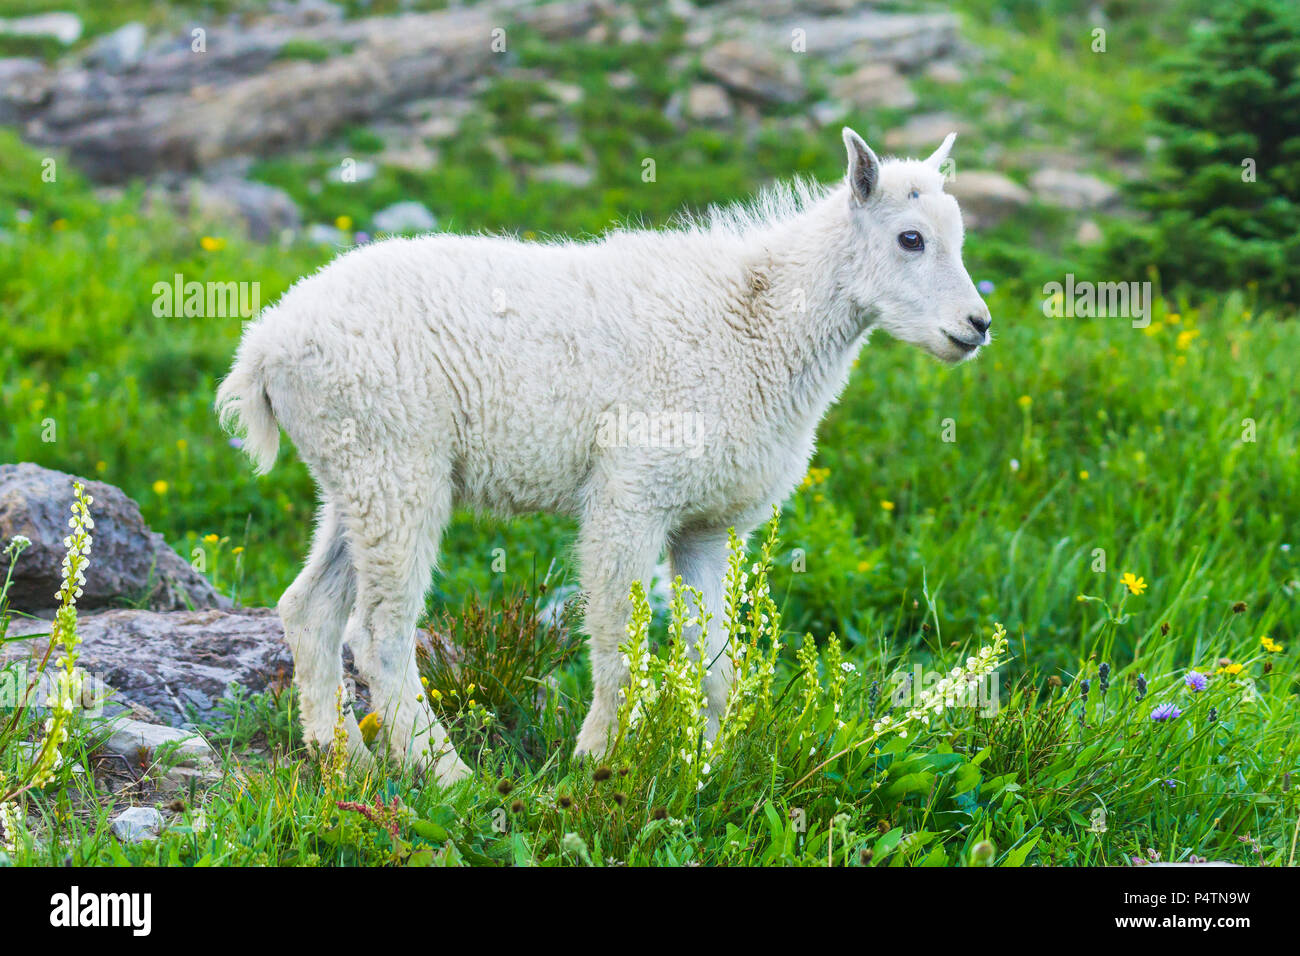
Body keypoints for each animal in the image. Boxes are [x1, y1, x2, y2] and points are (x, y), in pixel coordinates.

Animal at [218, 127, 987, 785]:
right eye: (911, 238)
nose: (976, 326)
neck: (758, 323)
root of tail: (264, 348)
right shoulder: (631, 492)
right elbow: (621, 642)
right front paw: (599, 764)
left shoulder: (704, 524)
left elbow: (714, 663)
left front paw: (703, 770)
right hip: (396, 464)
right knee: (379, 630)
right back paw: (450, 776)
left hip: (353, 476)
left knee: (311, 607)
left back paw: (342, 759)